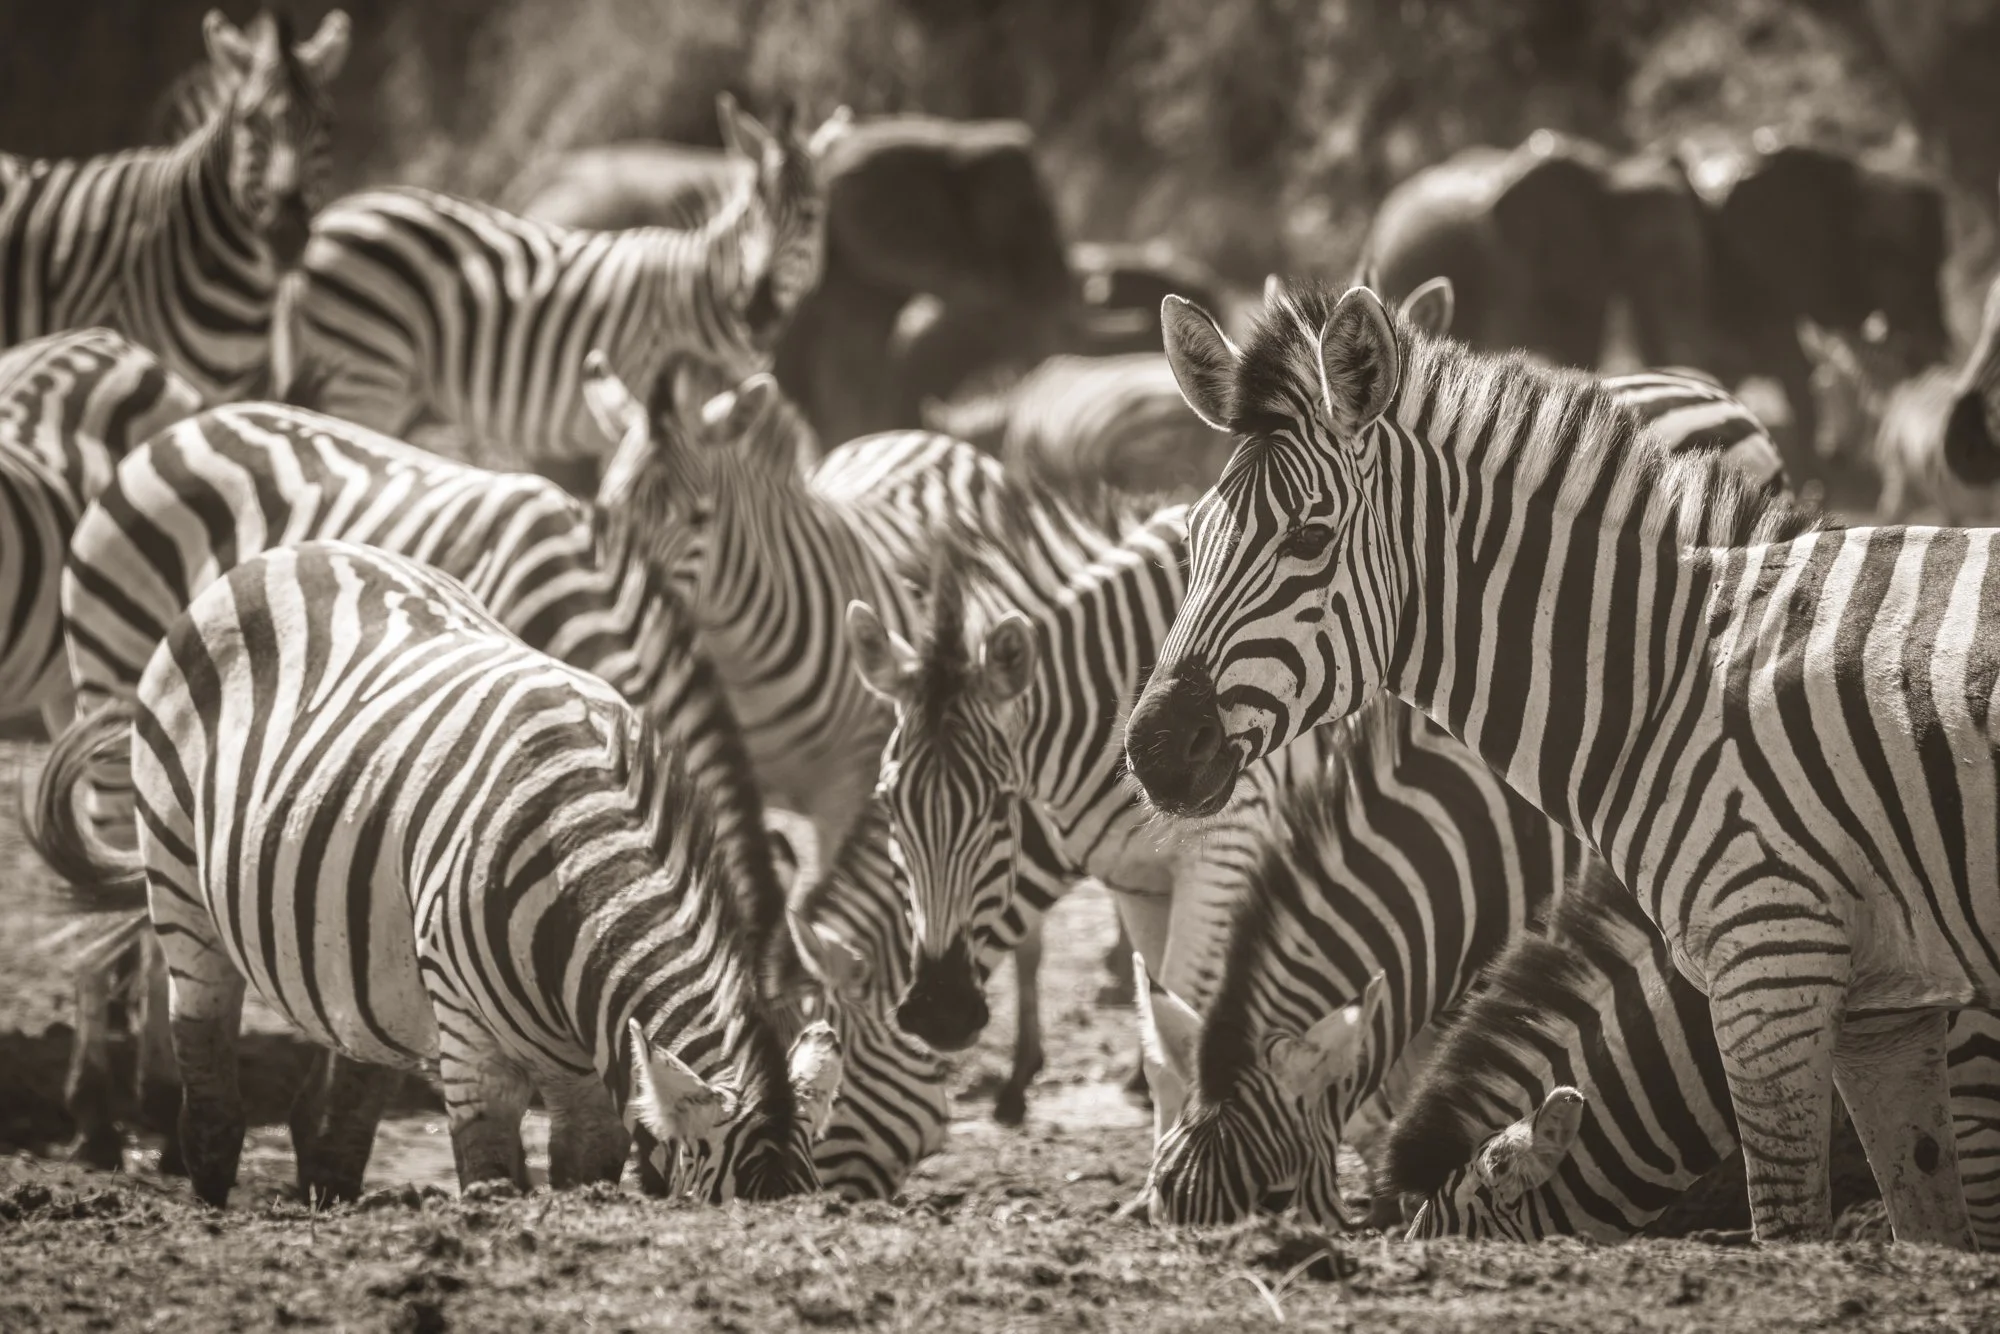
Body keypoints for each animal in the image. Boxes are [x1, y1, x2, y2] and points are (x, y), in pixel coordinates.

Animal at [31, 399, 802, 1176]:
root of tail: (198, 420)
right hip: (112, 688)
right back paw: (104, 1118)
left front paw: (318, 1129)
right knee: (117, 939)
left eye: (704, 515)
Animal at [280, 96, 837, 481]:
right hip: (368, 367)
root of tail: (332, 215)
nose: (757, 309)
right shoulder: (639, 399)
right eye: (751, 215)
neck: (702, 296)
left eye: (811, 218)